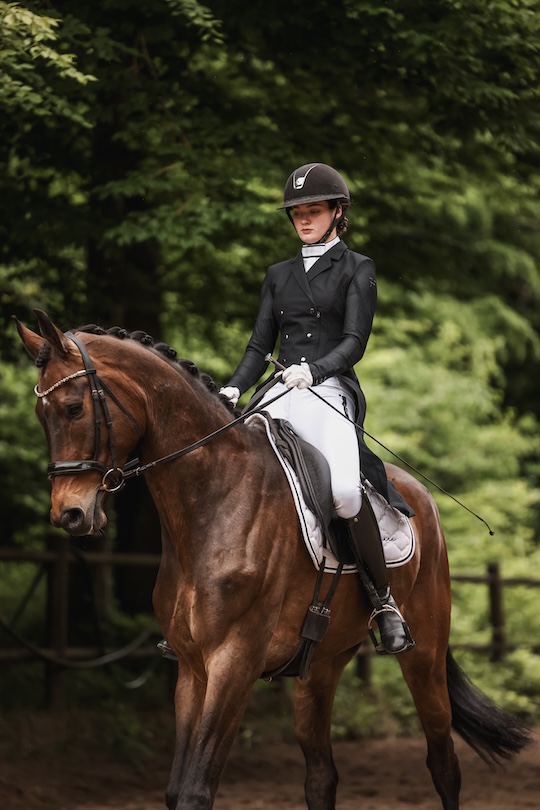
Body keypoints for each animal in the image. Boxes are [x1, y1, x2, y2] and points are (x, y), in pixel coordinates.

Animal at [16, 309, 531, 810]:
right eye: (41, 415)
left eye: (74, 408)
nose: (70, 514)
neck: (215, 500)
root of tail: (418, 494)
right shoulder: (191, 667)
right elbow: (177, 789)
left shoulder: (234, 662)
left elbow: (196, 789)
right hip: (320, 666)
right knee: (322, 777)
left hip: (423, 656)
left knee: (444, 765)